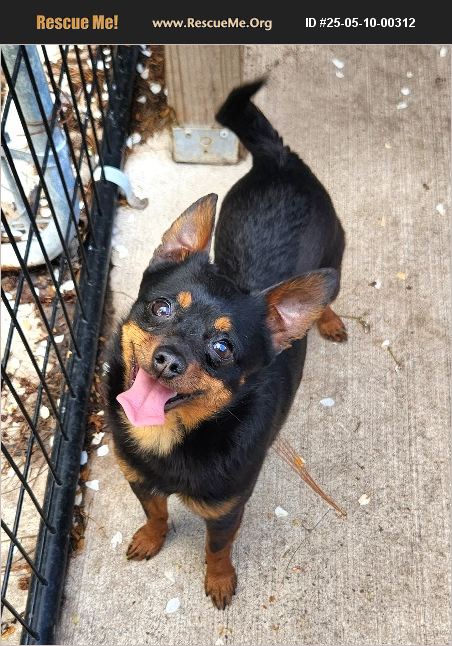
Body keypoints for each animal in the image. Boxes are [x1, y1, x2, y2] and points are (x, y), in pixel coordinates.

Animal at [106, 79, 346, 609]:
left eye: (222, 349)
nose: (168, 360)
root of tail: (279, 158)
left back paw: (328, 318)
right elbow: (156, 512)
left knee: (331, 293)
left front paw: (218, 580)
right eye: (161, 308)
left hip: (337, 253)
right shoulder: (139, 480)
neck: (170, 439)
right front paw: (151, 538)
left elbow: (217, 549)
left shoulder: (225, 511)